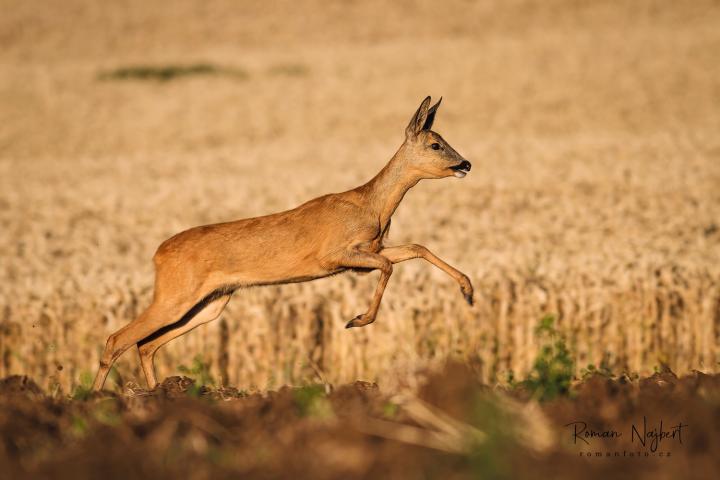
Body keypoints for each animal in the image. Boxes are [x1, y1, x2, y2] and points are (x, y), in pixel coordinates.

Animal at [93, 96, 476, 390]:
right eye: (435, 144)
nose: (466, 164)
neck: (372, 205)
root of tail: (157, 254)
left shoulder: (368, 252)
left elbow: (415, 248)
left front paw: (468, 291)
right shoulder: (335, 255)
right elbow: (389, 266)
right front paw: (356, 320)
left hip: (209, 303)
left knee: (146, 344)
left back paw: (155, 393)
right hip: (174, 296)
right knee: (118, 339)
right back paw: (98, 399)